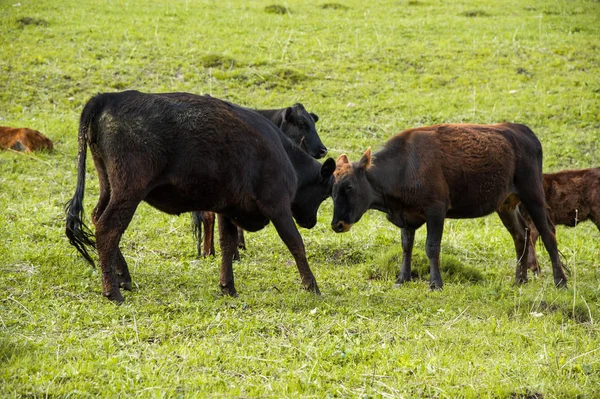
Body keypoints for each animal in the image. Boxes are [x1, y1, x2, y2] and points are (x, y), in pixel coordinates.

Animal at [67, 90, 338, 304]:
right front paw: (312, 286)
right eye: (326, 194)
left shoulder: (229, 208)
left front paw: (228, 287)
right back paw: (113, 291)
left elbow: (227, 244)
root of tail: (108, 98)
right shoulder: (277, 207)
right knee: (108, 229)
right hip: (129, 192)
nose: (312, 222)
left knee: (97, 218)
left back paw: (123, 278)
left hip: (109, 187)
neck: (284, 153)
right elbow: (295, 243)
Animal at [330, 122, 568, 290]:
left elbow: (432, 246)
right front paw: (402, 278)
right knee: (521, 234)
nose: (337, 225)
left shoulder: (436, 210)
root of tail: (522, 130)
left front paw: (435, 283)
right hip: (506, 204)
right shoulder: (407, 217)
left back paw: (560, 281)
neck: (404, 167)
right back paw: (520, 280)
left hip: (533, 194)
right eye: (331, 189)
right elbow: (406, 246)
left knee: (547, 234)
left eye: (349, 186)